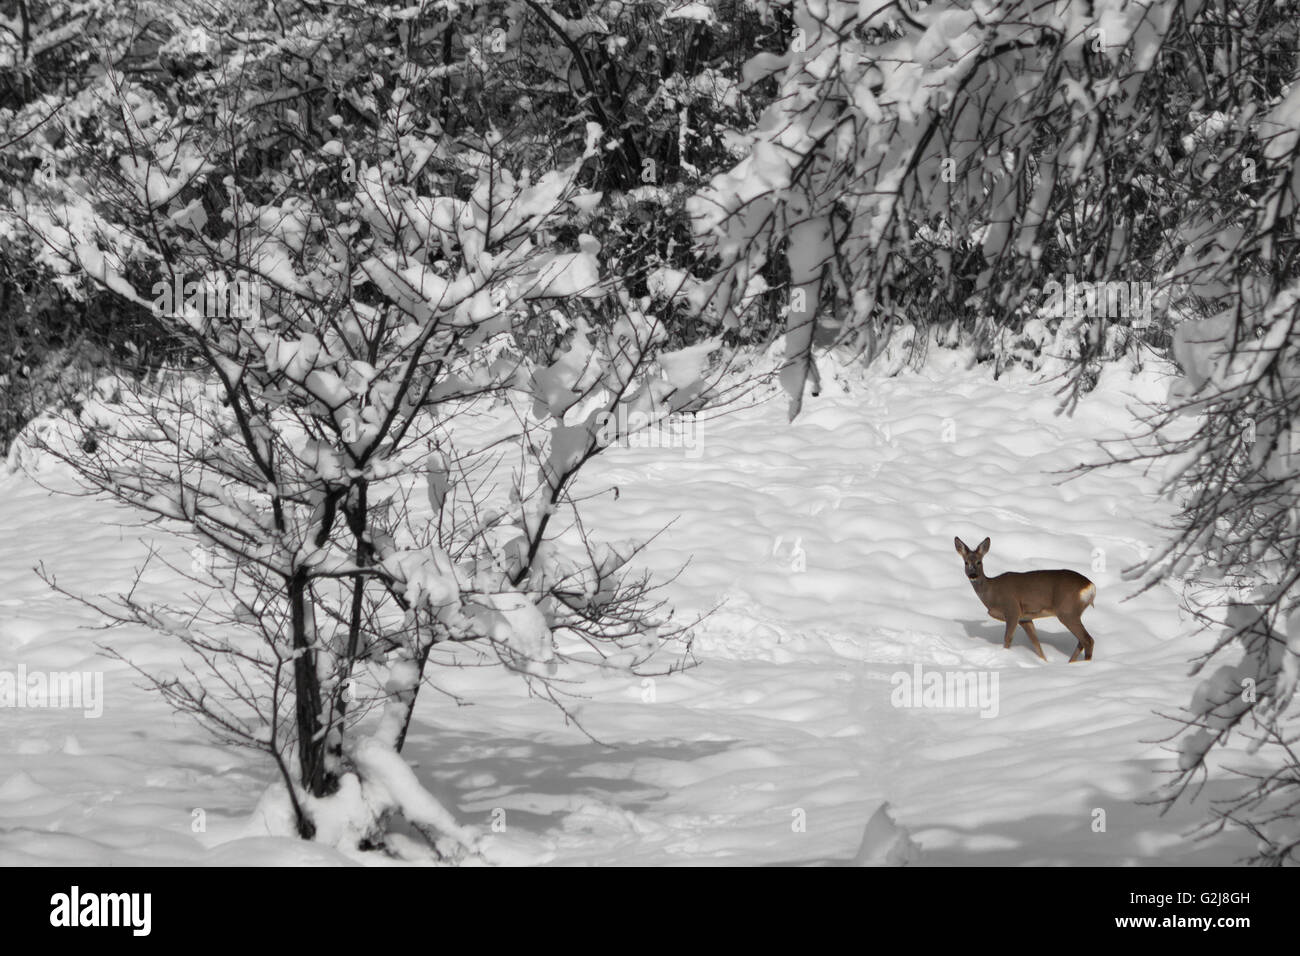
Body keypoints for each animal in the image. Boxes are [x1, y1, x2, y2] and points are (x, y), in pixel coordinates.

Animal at [956, 538, 1097, 665]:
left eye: (979, 562)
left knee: (1088, 640)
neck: (991, 593)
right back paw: (1071, 663)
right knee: (1081, 641)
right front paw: (1044, 662)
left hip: (1067, 611)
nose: (973, 575)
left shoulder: (1012, 609)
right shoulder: (1025, 618)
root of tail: (1090, 587)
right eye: (966, 562)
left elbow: (1008, 639)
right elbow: (1036, 644)